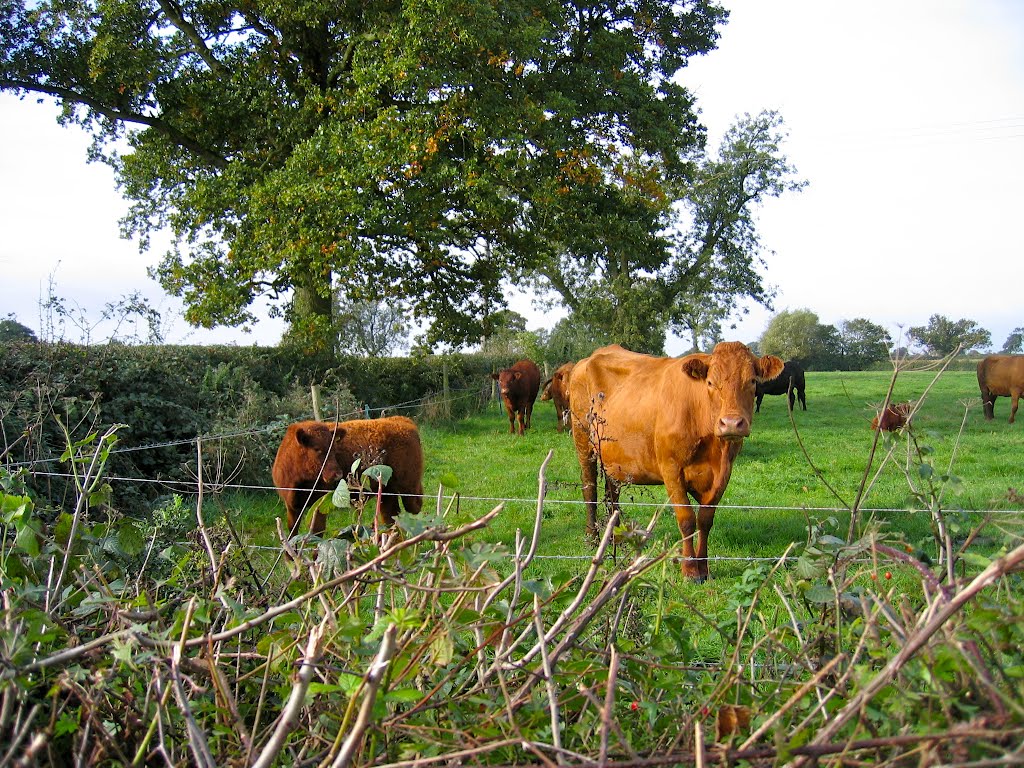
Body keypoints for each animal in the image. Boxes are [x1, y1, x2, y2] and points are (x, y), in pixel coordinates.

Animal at [272, 417, 423, 536]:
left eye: (334, 449)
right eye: (316, 449)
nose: (337, 474)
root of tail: (401, 420)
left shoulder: (319, 505)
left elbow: (316, 535)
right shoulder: (291, 507)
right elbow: (292, 534)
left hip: (409, 488)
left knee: (415, 506)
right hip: (387, 492)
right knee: (391, 517)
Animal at [569, 344, 782, 581]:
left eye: (752, 381)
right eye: (710, 382)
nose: (731, 423)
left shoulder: (723, 473)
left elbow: (705, 520)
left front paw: (703, 567)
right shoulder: (671, 469)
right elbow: (687, 519)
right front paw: (690, 570)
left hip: (613, 459)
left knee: (611, 494)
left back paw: (615, 538)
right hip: (583, 442)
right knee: (590, 489)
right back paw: (593, 539)